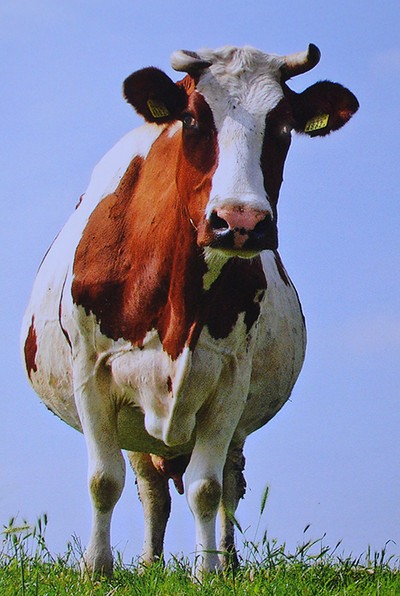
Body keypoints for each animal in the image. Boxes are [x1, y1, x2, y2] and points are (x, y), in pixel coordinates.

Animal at [21, 44, 360, 576]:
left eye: (284, 126)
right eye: (194, 119)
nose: (240, 222)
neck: (177, 308)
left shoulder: (230, 380)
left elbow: (207, 487)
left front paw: (209, 572)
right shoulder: (91, 372)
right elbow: (104, 481)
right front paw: (97, 569)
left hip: (234, 426)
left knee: (229, 486)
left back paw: (229, 562)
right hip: (136, 431)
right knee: (152, 491)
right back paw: (149, 564)